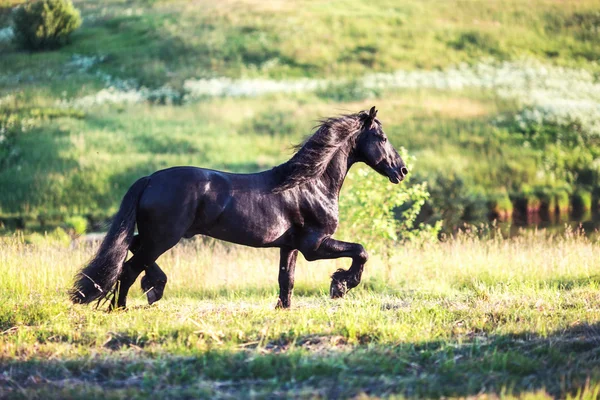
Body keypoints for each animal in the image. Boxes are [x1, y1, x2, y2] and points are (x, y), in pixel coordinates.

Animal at [70, 106, 408, 310]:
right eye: (382, 137)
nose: (401, 171)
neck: (311, 185)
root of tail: (151, 179)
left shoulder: (290, 246)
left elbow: (286, 280)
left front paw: (283, 309)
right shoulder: (315, 245)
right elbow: (360, 251)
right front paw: (341, 285)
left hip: (157, 237)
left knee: (134, 250)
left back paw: (154, 287)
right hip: (165, 237)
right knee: (129, 267)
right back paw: (124, 305)